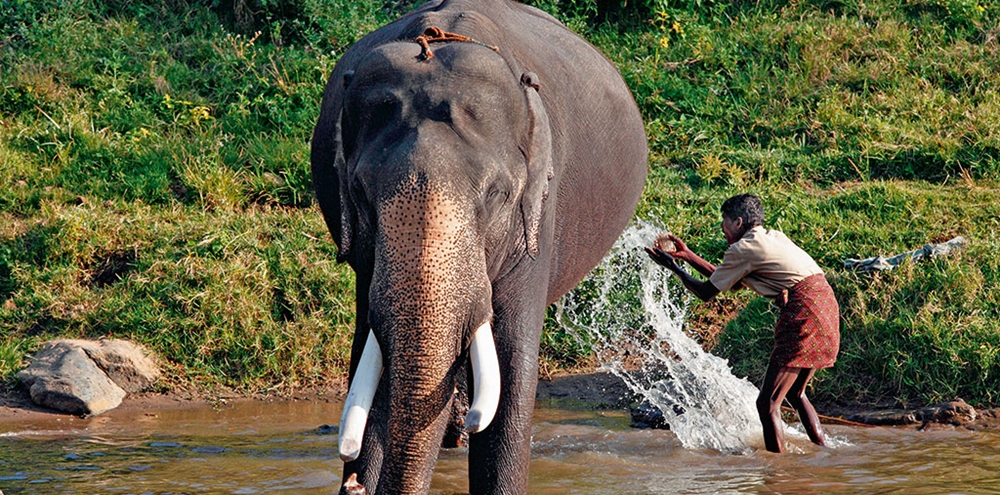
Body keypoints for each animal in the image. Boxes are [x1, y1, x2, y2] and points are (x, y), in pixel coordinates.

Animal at [312, 0, 652, 494]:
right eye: (359, 193)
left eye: (495, 194)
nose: (354, 480)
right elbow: (373, 359)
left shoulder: (537, 214)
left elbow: (510, 369)